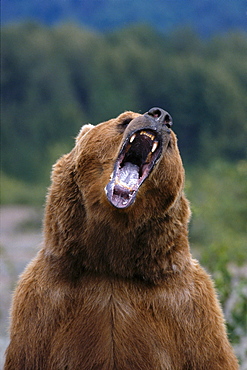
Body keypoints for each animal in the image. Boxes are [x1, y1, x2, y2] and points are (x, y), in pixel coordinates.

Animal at [4, 108, 239, 368]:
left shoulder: (189, 313)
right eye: (124, 120)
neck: (111, 264)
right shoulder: (44, 308)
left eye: (173, 142)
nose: (160, 115)